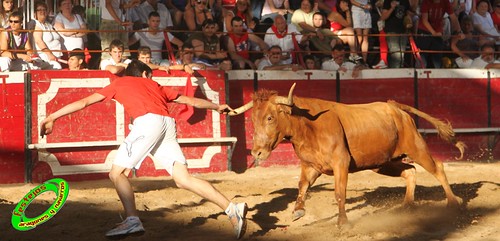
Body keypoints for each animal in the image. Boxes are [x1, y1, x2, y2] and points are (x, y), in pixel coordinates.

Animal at [229, 83, 464, 226]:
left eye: (269, 118)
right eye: (253, 119)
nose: (257, 152)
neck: (307, 125)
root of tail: (396, 107)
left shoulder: (340, 163)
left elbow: (339, 193)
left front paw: (342, 222)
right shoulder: (311, 166)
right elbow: (302, 186)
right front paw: (298, 210)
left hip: (416, 148)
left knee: (437, 168)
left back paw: (453, 203)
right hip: (382, 162)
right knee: (410, 171)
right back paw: (406, 206)